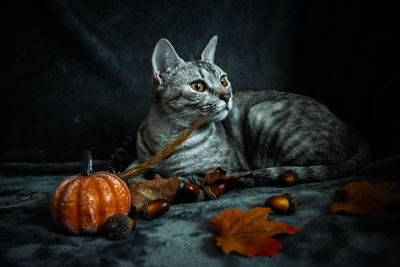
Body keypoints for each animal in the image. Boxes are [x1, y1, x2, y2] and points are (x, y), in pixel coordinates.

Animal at [127, 35, 368, 189]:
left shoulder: (221, 167)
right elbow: (131, 172)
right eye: (198, 86)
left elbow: (183, 176)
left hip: (261, 114)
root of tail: (348, 126)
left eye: (223, 80)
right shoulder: (140, 159)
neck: (168, 138)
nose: (227, 95)